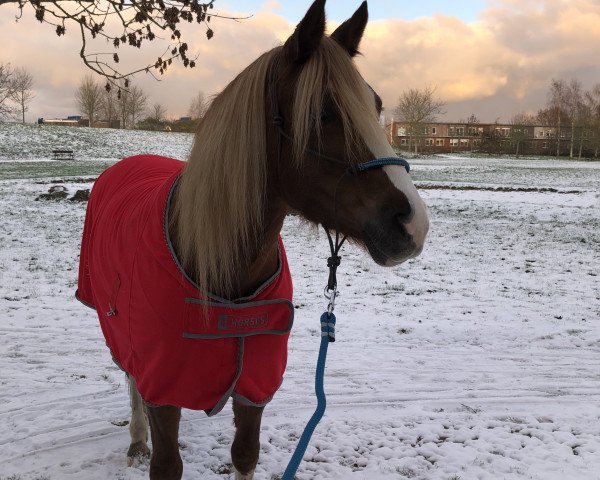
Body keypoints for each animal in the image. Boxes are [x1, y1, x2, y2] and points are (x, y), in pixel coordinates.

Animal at [77, 1, 428, 478]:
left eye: (375, 106)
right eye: (321, 112)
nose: (413, 224)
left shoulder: (255, 390)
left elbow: (245, 453)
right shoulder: (162, 389)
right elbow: (166, 458)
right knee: (129, 377)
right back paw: (136, 440)